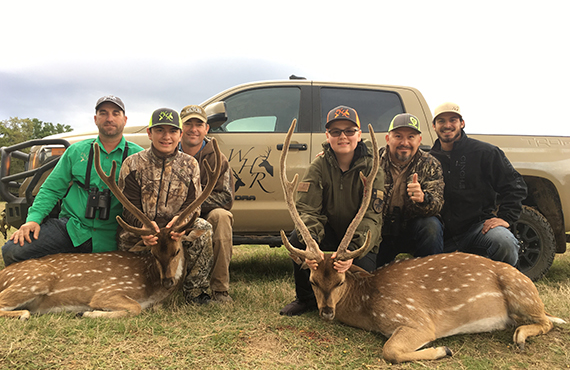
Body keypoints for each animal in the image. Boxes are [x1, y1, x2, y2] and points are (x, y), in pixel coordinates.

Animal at [0, 140, 221, 320]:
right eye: (154, 253)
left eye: (176, 251)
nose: (167, 281)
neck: (151, 289)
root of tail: (3, 274)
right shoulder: (108, 291)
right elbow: (134, 308)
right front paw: (87, 312)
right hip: (33, 281)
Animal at [278, 120, 560, 362]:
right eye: (313, 281)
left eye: (339, 281)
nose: (326, 311)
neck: (368, 304)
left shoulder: (419, 320)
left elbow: (390, 350)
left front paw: (443, 350)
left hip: (522, 291)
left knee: (547, 320)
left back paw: (520, 337)